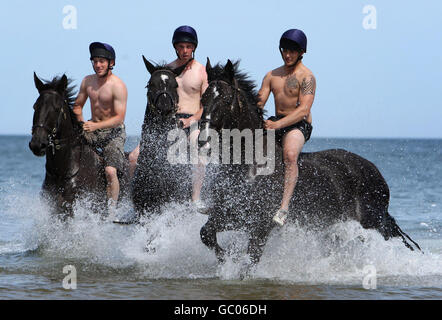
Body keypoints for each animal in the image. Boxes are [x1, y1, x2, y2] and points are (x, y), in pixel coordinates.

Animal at [198, 59, 422, 264]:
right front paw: (226, 258)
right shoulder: (231, 216)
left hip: (375, 220)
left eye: (226, 99)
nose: (203, 139)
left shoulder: (260, 226)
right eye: (203, 98)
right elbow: (206, 234)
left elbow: (250, 259)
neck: (251, 167)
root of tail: (373, 169)